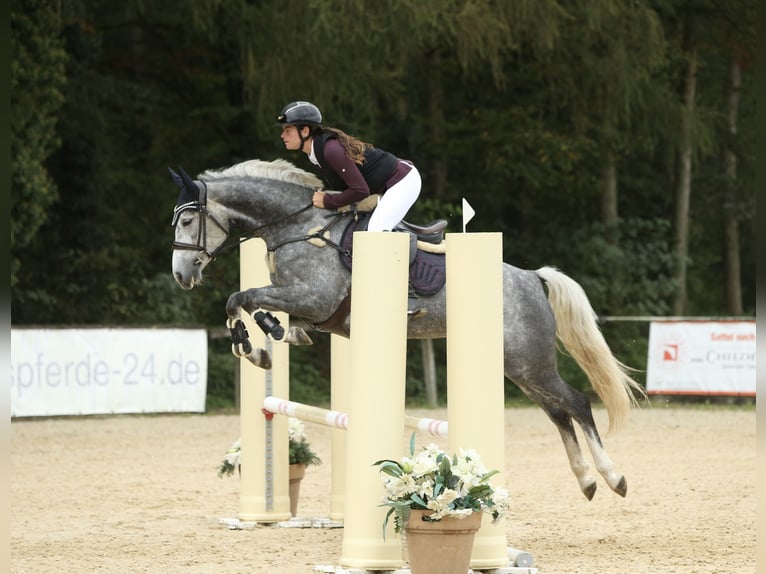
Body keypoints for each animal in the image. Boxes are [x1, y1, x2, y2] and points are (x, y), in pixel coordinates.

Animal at [171, 160, 644, 502]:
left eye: (188, 222)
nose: (181, 275)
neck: (297, 228)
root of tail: (532, 277)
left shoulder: (314, 297)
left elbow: (241, 297)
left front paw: (254, 345)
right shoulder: (308, 306)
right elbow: (255, 306)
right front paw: (264, 342)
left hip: (531, 361)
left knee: (577, 403)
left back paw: (613, 477)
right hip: (519, 366)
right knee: (558, 413)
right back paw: (587, 482)